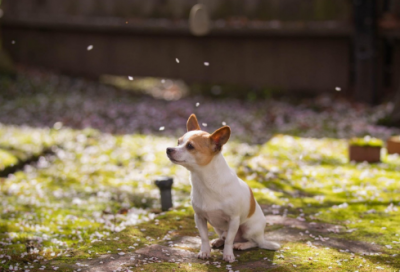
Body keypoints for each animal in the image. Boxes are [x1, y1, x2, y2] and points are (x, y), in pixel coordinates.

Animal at [165, 113, 278, 262]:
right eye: (178, 142)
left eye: (190, 146)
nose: (168, 149)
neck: (205, 181)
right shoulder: (200, 218)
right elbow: (204, 237)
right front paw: (205, 251)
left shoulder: (234, 220)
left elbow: (230, 240)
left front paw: (228, 255)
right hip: (218, 227)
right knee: (224, 236)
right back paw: (219, 241)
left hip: (248, 228)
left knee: (253, 242)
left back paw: (241, 245)